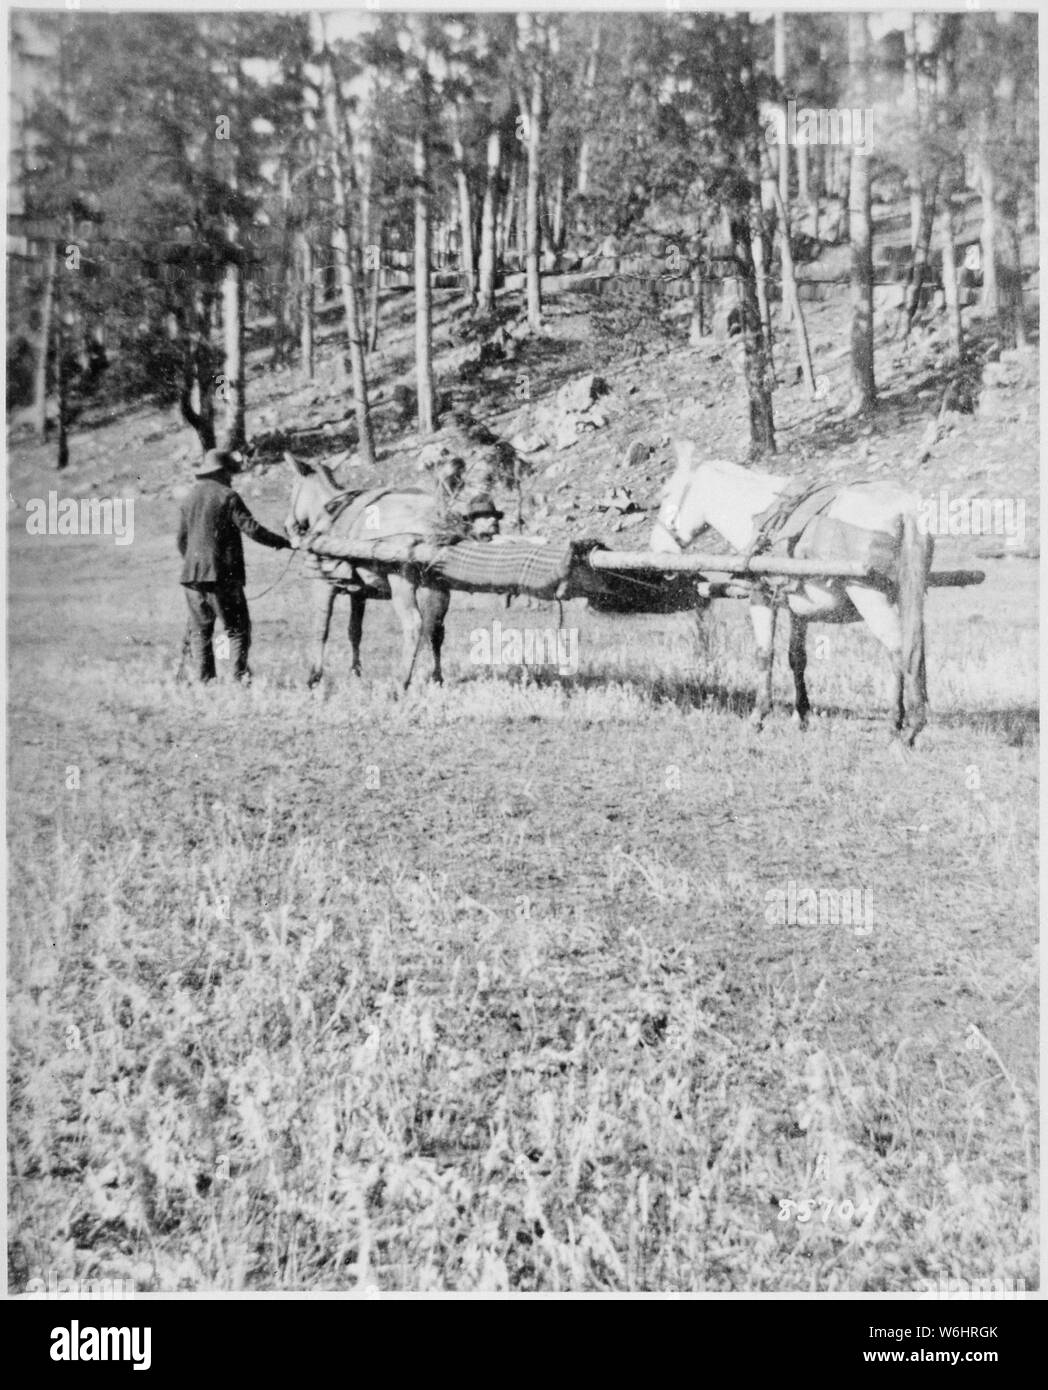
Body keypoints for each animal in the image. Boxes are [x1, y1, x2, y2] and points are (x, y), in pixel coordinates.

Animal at [285, 453, 452, 690]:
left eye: (293, 487)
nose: (287, 525)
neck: (329, 513)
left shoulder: (323, 584)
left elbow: (321, 628)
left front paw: (314, 676)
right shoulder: (358, 593)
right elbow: (354, 631)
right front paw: (355, 672)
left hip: (403, 583)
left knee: (414, 624)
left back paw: (402, 680)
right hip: (438, 584)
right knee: (436, 628)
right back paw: (436, 678)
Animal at [652, 444, 933, 744]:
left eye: (666, 494)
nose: (659, 552)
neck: (760, 514)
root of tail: (905, 508)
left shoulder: (761, 598)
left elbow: (764, 654)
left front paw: (758, 716)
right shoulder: (799, 610)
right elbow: (797, 658)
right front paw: (802, 716)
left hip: (872, 600)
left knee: (900, 651)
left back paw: (902, 725)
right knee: (908, 650)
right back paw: (905, 723)